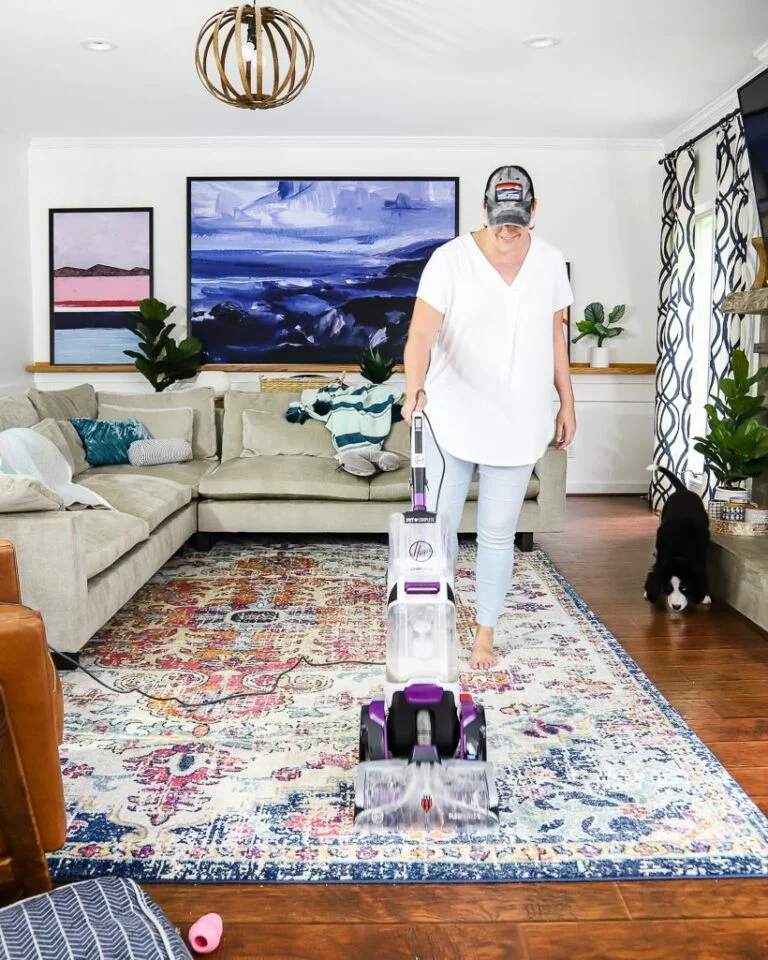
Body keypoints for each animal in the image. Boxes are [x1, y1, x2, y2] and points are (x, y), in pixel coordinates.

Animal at [644, 466, 712, 616]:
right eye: (668, 588)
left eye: (684, 588)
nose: (676, 607)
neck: (680, 551)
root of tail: (683, 490)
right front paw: (648, 592)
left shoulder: (700, 560)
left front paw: (704, 596)